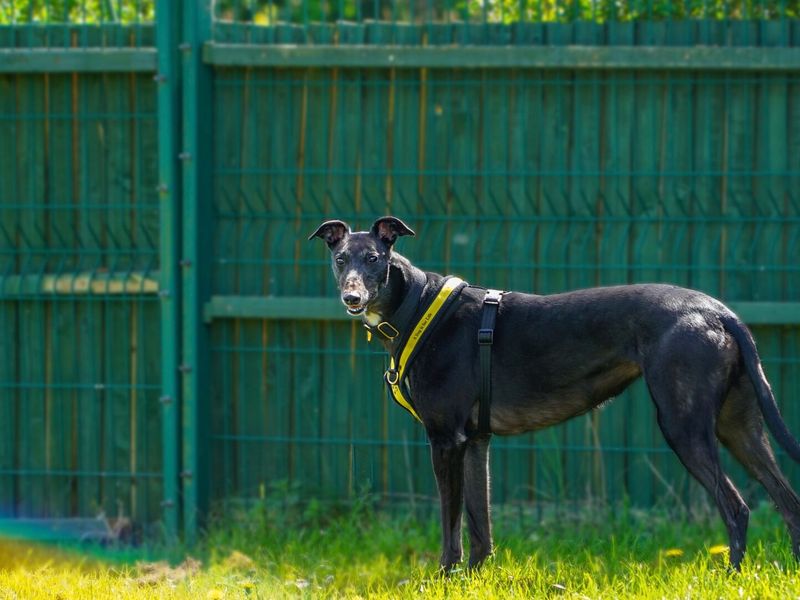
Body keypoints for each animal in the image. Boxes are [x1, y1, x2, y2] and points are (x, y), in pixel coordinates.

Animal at [310, 217, 800, 572]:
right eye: (341, 258)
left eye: (374, 258)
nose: (352, 298)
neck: (419, 303)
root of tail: (718, 311)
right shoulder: (476, 443)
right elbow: (480, 529)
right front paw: (475, 580)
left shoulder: (446, 441)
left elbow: (451, 531)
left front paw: (444, 581)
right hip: (740, 427)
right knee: (788, 502)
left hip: (685, 427)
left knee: (737, 509)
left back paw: (730, 576)